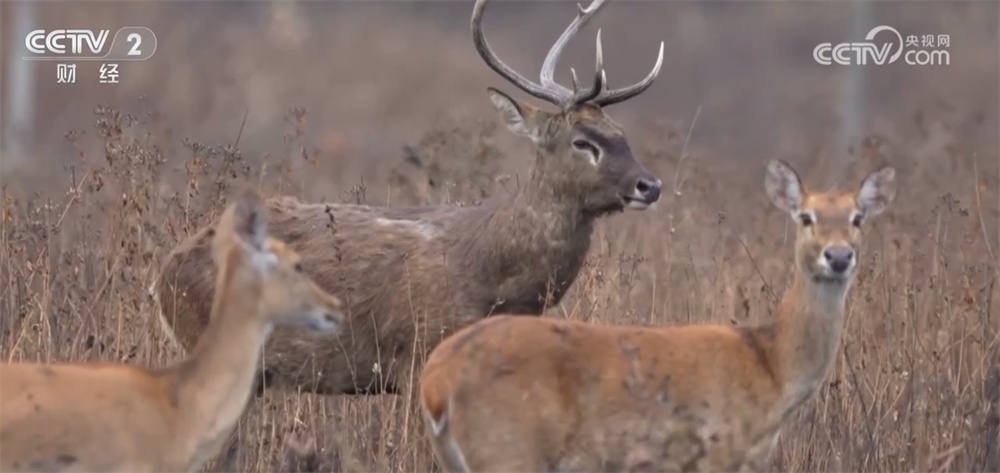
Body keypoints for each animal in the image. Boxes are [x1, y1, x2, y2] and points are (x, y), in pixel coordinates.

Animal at [154, 0, 664, 394]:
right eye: (582, 142)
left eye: (621, 133)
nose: (650, 185)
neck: (494, 275)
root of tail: (162, 276)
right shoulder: (418, 351)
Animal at [418, 159, 904, 472]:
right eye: (805, 217)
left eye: (858, 218)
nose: (837, 256)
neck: (772, 366)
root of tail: (437, 383)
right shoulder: (718, 450)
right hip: (509, 447)